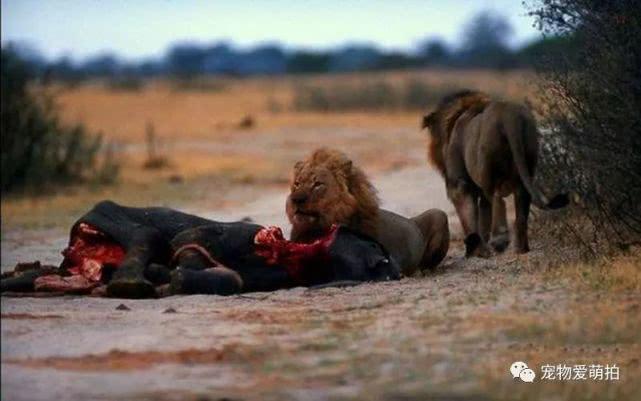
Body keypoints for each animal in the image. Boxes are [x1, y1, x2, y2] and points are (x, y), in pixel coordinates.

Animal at [422, 89, 568, 255]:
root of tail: (510, 116)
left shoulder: (459, 183)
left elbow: (469, 214)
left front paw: (476, 251)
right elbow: (484, 214)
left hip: (490, 170)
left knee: (498, 199)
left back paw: (500, 241)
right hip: (526, 165)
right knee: (521, 207)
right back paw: (521, 248)